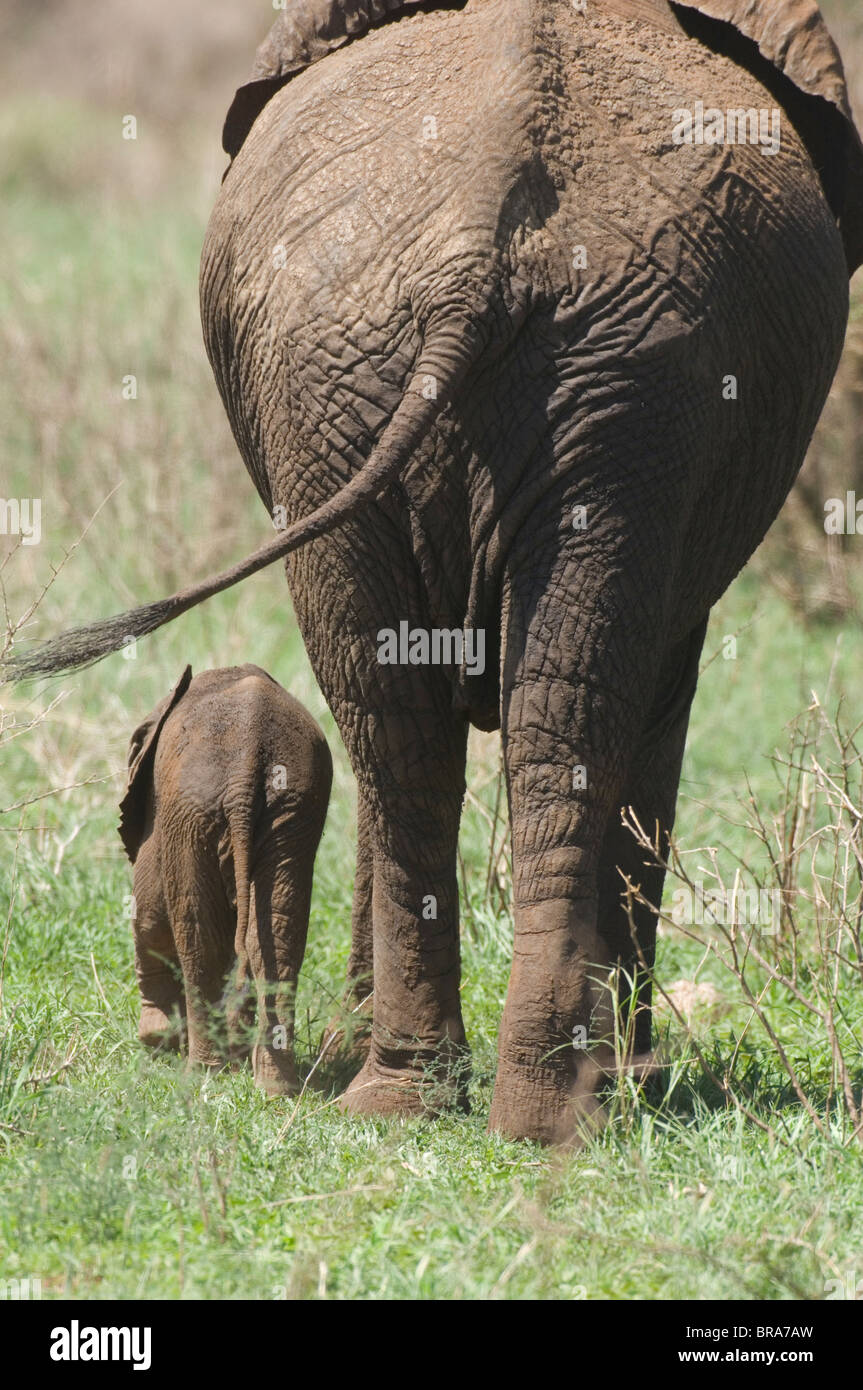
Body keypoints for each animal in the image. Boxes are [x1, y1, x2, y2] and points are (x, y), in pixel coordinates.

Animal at [120, 664, 333, 1095]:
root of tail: (247, 768)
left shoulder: (159, 812)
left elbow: (147, 913)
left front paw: (156, 1042)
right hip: (294, 810)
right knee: (278, 932)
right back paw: (276, 1088)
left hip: (191, 810)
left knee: (198, 934)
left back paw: (203, 1073)